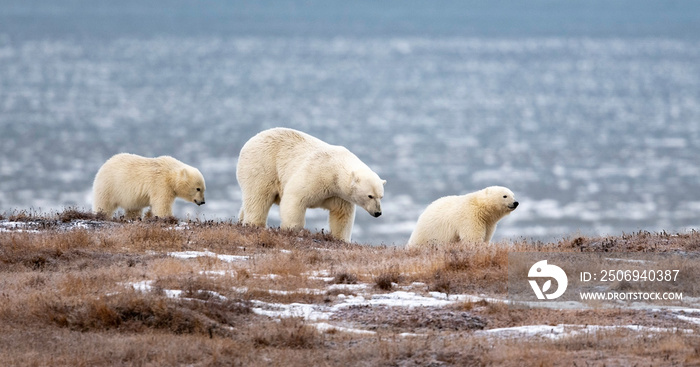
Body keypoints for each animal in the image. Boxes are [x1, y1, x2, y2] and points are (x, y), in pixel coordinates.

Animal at [238, 128, 386, 243]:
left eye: (381, 196)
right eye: (370, 196)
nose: (378, 213)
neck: (334, 172)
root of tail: (251, 140)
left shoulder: (339, 195)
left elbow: (342, 215)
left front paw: (341, 239)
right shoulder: (316, 173)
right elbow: (295, 197)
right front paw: (292, 229)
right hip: (263, 166)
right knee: (259, 198)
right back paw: (255, 224)